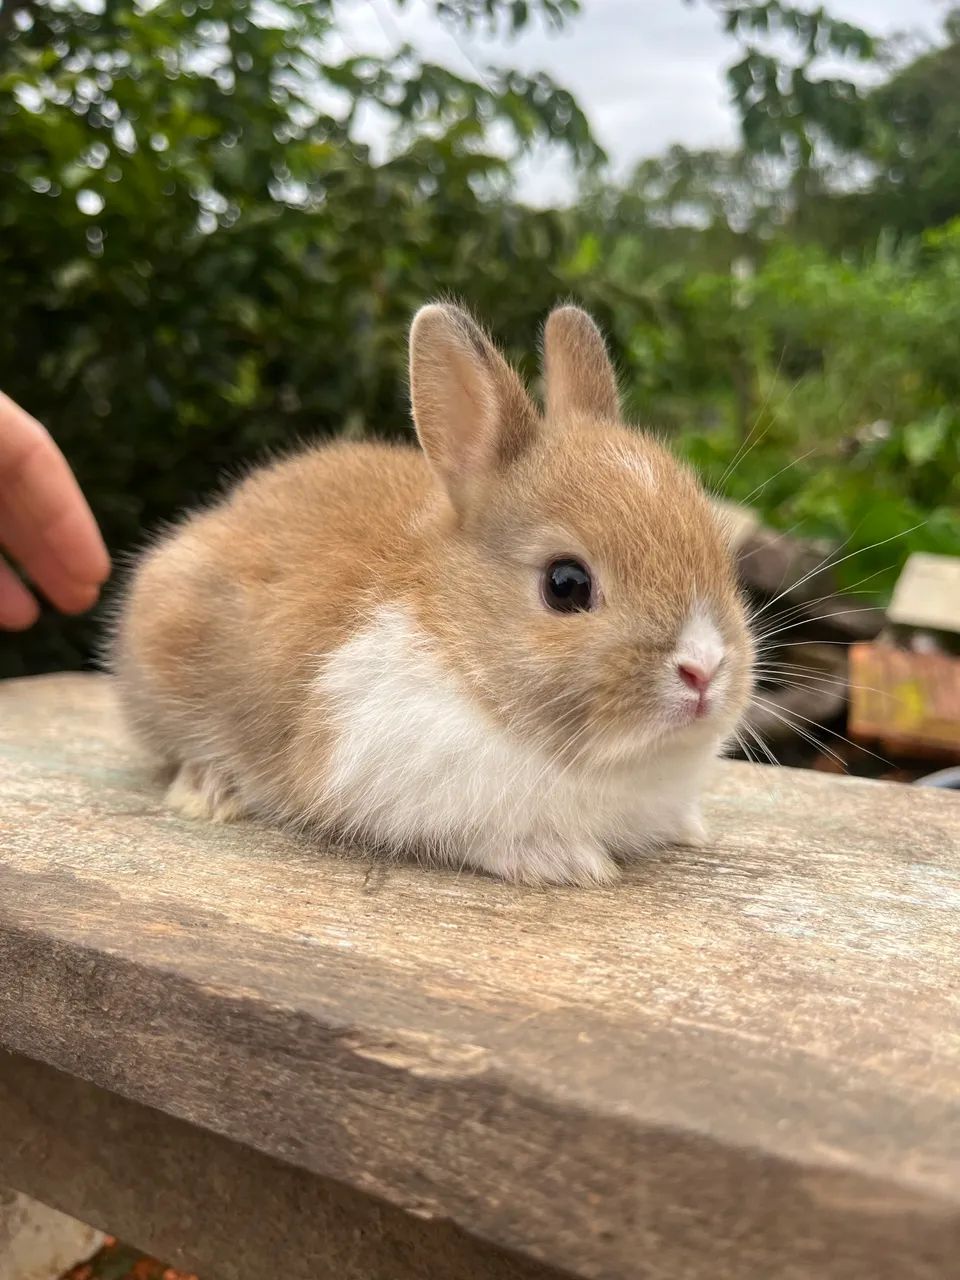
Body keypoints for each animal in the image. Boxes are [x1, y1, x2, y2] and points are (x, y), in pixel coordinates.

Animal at [110, 303, 755, 886]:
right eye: (566, 584)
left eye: (719, 554)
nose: (704, 669)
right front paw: (564, 863)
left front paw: (688, 830)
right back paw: (209, 789)